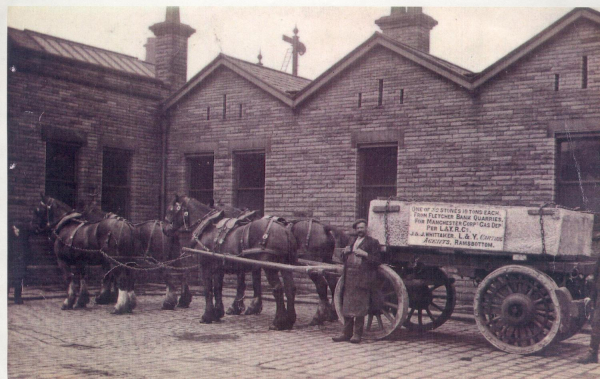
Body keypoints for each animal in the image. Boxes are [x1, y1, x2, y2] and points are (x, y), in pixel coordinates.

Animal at [164, 197, 298, 332]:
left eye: (171, 210)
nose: (165, 230)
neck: (207, 227)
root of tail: (284, 230)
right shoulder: (218, 267)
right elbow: (218, 288)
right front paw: (217, 313)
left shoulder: (205, 265)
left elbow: (208, 289)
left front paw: (207, 316)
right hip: (285, 265)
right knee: (290, 288)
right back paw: (289, 320)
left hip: (269, 266)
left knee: (278, 289)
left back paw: (278, 322)